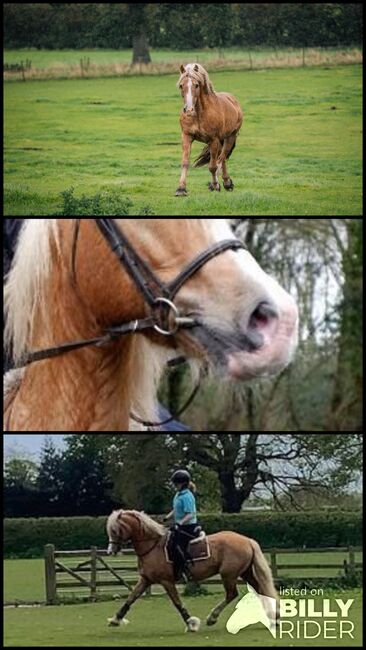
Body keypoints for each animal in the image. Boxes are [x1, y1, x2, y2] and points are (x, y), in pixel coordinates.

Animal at [107, 508, 278, 632]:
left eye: (115, 530)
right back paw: (274, 617)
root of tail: (247, 540)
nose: (111, 551)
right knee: (259, 590)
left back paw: (212, 618)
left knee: (232, 594)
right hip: (245, 572)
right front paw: (116, 619)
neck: (153, 546)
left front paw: (191, 623)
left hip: (229, 574)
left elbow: (177, 603)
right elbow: (131, 598)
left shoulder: (166, 581)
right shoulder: (146, 579)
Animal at [175, 65, 243, 197]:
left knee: (221, 158)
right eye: (181, 85)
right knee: (222, 158)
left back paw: (224, 183)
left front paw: (215, 185)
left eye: (196, 85)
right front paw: (181, 189)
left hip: (230, 137)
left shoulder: (213, 140)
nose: (189, 110)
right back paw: (226, 183)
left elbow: (212, 166)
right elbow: (185, 162)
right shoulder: (186, 136)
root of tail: (233, 100)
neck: (199, 114)